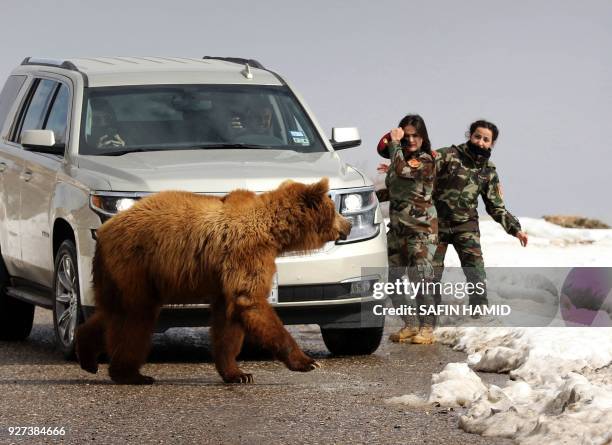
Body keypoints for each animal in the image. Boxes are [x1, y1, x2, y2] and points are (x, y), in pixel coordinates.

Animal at [77, 179, 352, 384]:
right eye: (334, 210)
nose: (348, 225)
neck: (272, 232)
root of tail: (104, 230)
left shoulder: (225, 276)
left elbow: (228, 320)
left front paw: (238, 373)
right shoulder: (246, 253)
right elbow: (250, 300)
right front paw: (307, 362)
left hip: (118, 273)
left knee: (113, 310)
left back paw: (87, 355)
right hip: (136, 262)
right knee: (136, 316)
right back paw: (131, 374)